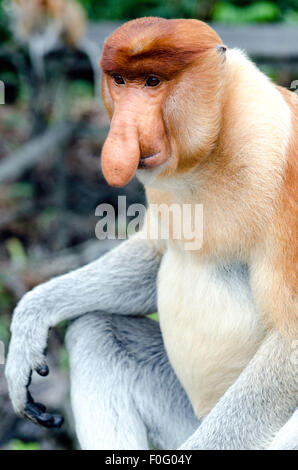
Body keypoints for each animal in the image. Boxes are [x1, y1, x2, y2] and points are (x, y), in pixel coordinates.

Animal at [5, 18, 298, 450]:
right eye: (121, 80)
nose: (124, 133)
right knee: (97, 332)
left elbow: (290, 338)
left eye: (153, 82)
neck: (212, 149)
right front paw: (31, 321)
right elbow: (156, 253)